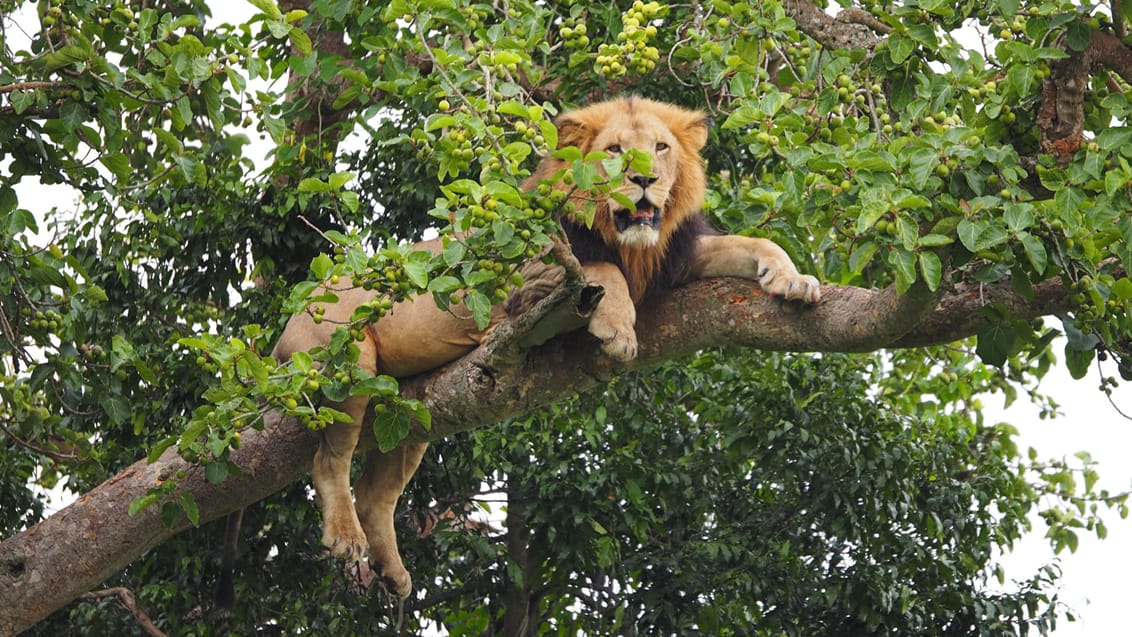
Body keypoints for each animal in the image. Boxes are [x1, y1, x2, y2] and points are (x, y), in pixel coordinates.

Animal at [261, 94, 824, 597]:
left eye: (661, 148)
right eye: (615, 150)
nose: (643, 181)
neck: (628, 239)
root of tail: (287, 323)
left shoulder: (676, 257)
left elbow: (757, 242)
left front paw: (795, 280)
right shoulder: (528, 279)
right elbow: (602, 269)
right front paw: (618, 330)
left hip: (410, 412)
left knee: (376, 494)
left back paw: (394, 572)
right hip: (346, 359)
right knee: (331, 461)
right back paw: (345, 537)